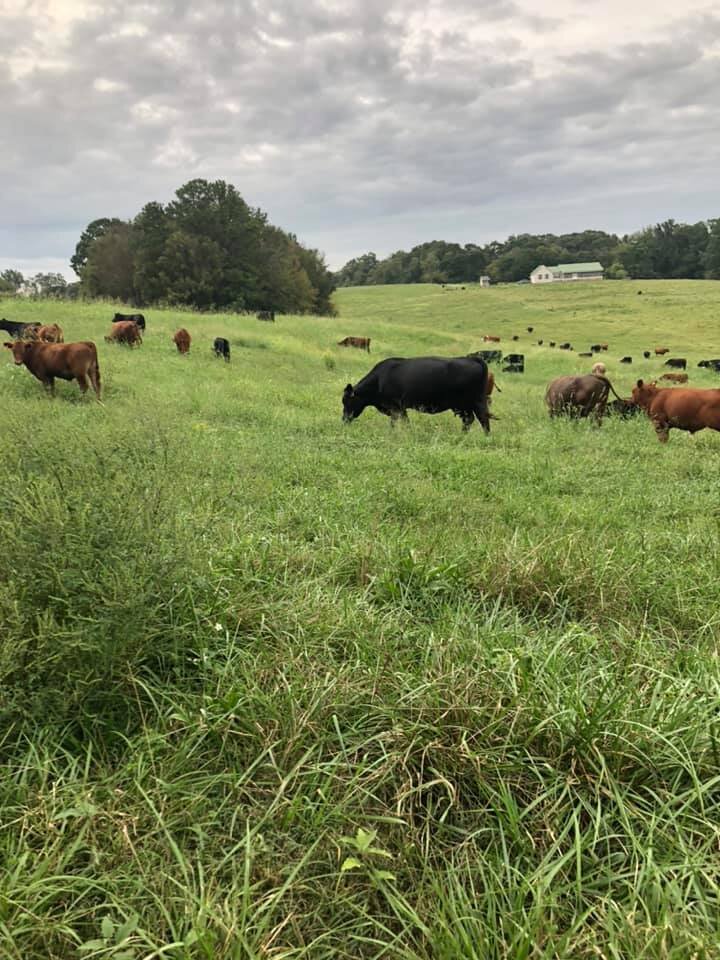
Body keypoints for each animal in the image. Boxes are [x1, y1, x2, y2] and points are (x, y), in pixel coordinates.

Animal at [342, 355, 491, 433]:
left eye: (347, 401)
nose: (344, 419)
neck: (379, 379)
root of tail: (472, 358)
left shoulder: (395, 407)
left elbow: (397, 422)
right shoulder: (400, 408)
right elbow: (403, 421)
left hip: (470, 402)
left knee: (480, 419)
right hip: (467, 405)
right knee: (473, 419)